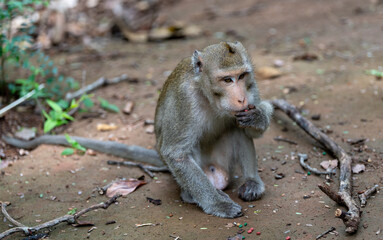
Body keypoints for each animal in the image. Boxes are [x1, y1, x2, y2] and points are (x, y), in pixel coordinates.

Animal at [3, 41, 272, 219]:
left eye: (242, 76)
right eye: (227, 80)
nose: (241, 99)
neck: (206, 94)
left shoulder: (251, 88)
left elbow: (252, 129)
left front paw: (257, 116)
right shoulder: (185, 99)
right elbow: (176, 153)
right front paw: (218, 205)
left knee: (236, 127)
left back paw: (252, 183)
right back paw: (191, 195)